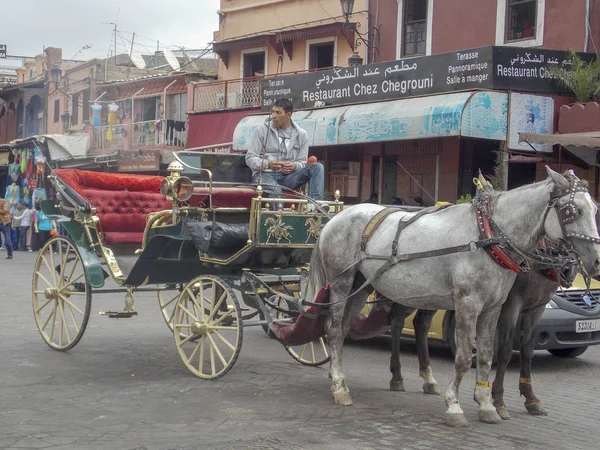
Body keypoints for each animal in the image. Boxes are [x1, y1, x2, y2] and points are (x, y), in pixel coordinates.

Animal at [308, 168, 596, 426]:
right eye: (572, 211)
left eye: (595, 210)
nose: (595, 260)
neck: (487, 237)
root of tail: (336, 217)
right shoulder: (468, 304)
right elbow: (465, 357)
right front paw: (455, 406)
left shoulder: (494, 308)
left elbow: (487, 354)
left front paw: (486, 405)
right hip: (342, 282)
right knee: (334, 330)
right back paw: (340, 388)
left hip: (362, 285)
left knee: (345, 328)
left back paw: (338, 375)